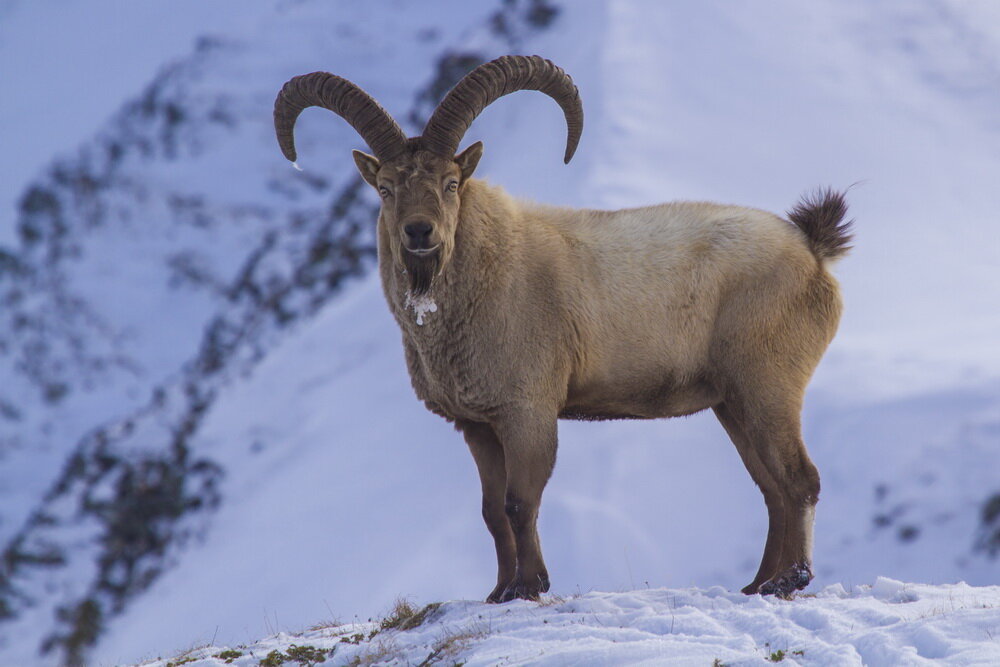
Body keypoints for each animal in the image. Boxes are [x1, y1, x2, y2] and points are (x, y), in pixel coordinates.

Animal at [274, 54, 852, 604]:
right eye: (386, 188)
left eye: (451, 183)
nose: (420, 232)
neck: (490, 269)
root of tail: (811, 249)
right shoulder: (478, 425)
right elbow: (491, 511)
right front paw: (498, 591)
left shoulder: (528, 409)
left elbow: (520, 501)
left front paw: (530, 585)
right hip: (732, 401)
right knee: (771, 487)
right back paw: (759, 582)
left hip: (768, 385)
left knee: (799, 480)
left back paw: (790, 579)